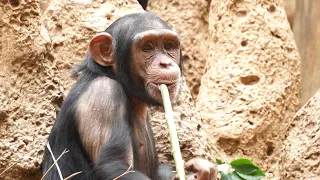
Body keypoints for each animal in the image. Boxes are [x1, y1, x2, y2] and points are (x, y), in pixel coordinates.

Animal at [40, 11, 215, 179]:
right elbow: (114, 166)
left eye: (169, 46)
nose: (165, 63)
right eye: (147, 47)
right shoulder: (103, 96)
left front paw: (201, 170)